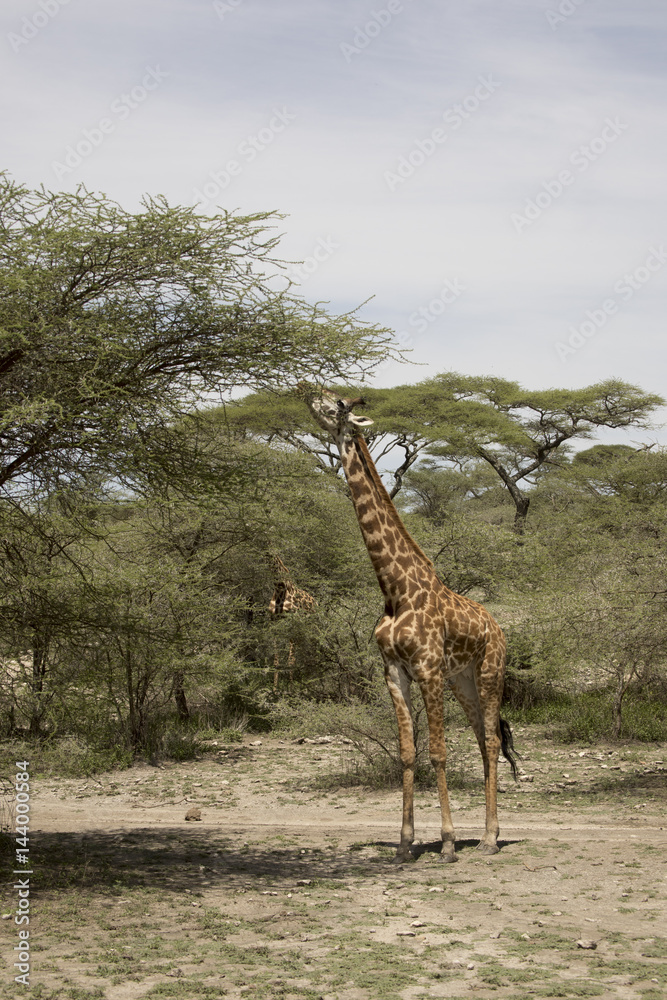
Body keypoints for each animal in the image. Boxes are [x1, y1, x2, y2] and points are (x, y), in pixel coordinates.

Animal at [268, 556, 316, 690]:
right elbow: (276, 661)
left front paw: (290, 690)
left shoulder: (293, 625)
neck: (280, 588)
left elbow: (291, 661)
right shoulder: (273, 625)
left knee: (311, 655)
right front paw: (275, 690)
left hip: (311, 630)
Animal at [302, 387, 518, 863]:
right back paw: (488, 833)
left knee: (494, 742)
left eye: (338, 405)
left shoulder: (428, 669)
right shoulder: (394, 671)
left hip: (489, 671)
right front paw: (404, 843)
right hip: (462, 680)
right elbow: (407, 752)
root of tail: (497, 626)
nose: (310, 392)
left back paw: (490, 839)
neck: (395, 588)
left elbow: (437, 752)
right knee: (483, 740)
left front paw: (449, 843)